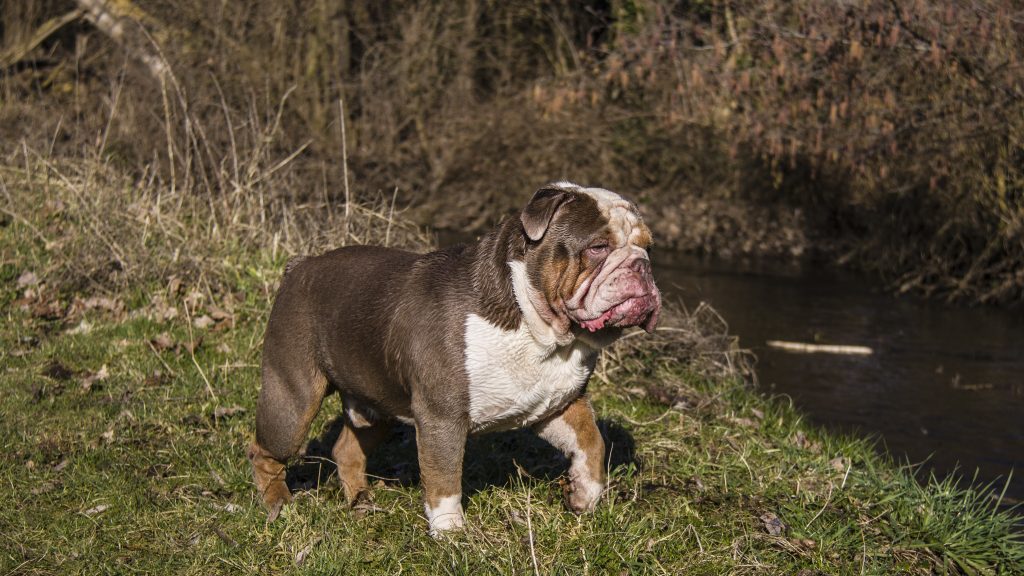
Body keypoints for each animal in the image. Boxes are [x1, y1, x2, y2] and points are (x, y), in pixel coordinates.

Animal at [251, 181, 659, 532]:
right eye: (598, 248)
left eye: (649, 248)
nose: (641, 266)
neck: (536, 325)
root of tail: (301, 265)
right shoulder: (442, 416)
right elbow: (444, 477)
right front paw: (450, 534)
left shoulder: (558, 405)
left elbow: (592, 442)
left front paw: (585, 494)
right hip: (293, 399)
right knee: (265, 449)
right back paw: (278, 506)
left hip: (376, 402)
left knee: (347, 449)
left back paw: (361, 504)